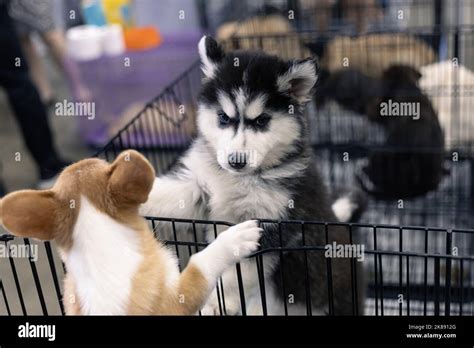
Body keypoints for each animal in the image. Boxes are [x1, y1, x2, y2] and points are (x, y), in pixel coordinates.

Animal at [139, 36, 364, 316]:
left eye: (261, 121)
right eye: (223, 117)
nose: (236, 161)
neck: (240, 179)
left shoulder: (269, 227)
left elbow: (234, 275)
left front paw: (217, 301)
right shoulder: (198, 188)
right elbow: (168, 194)